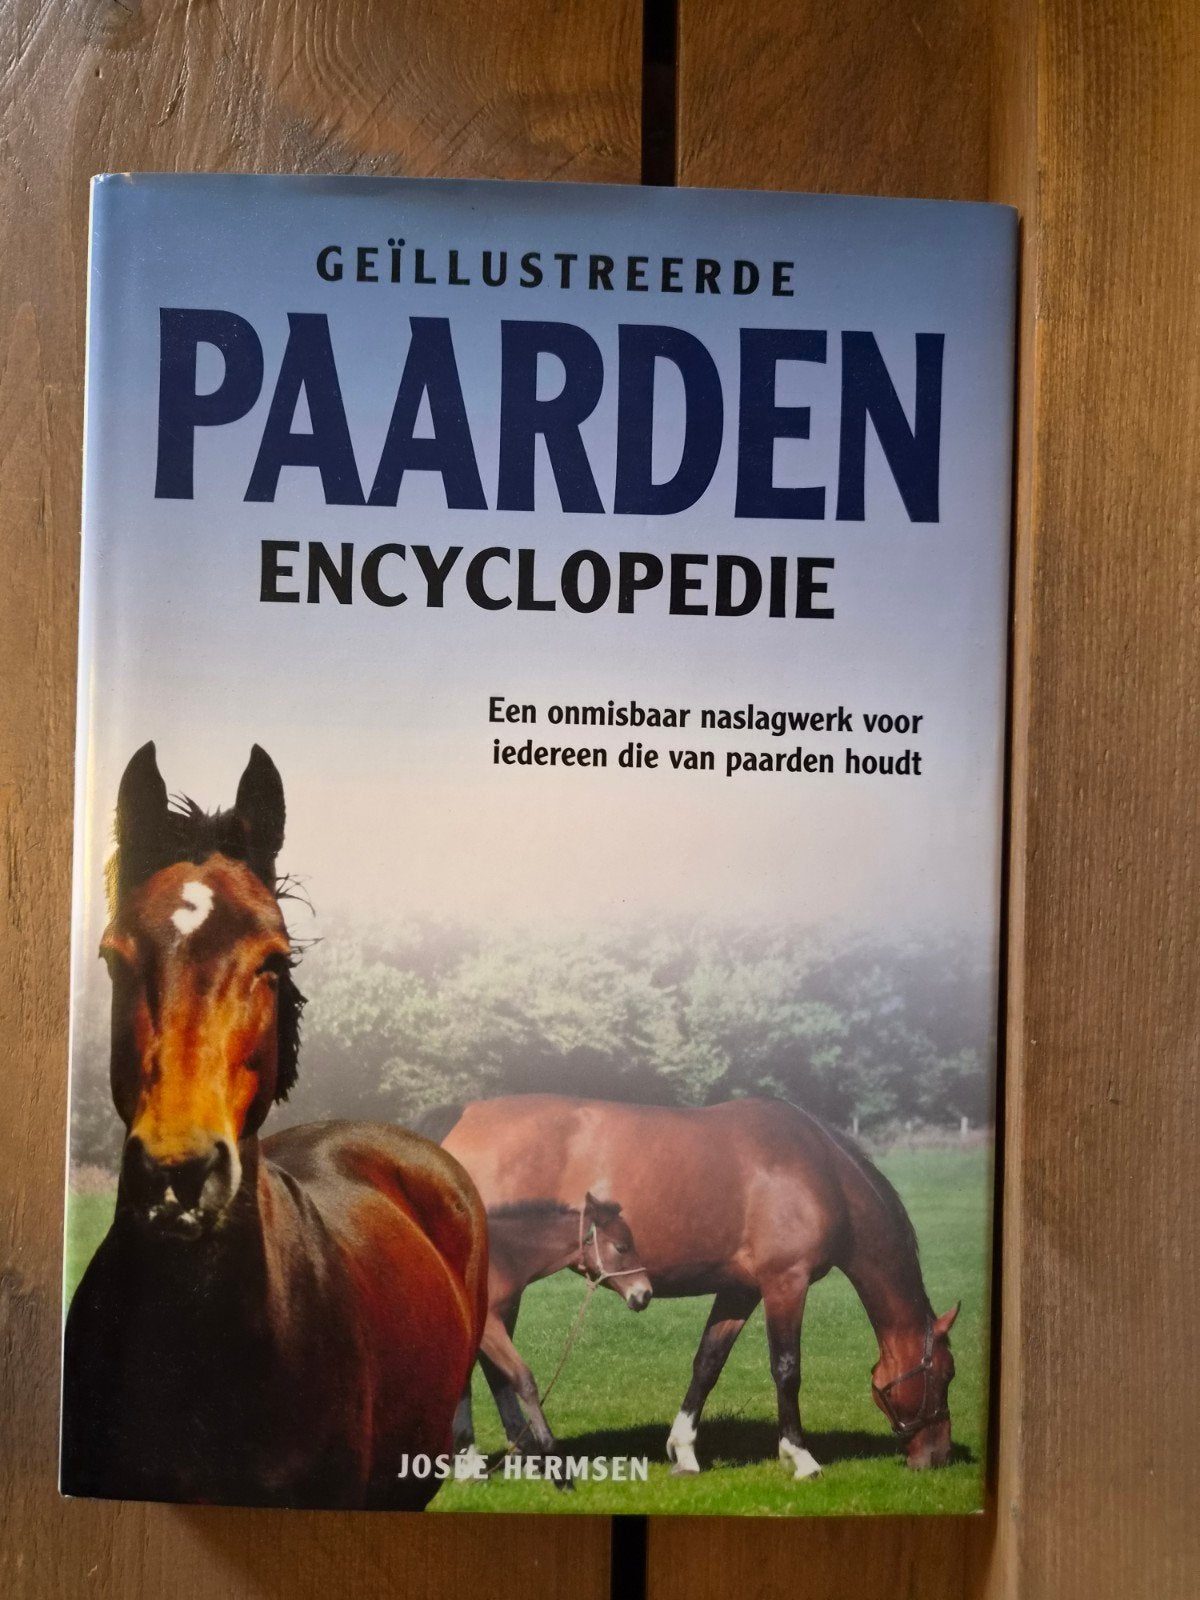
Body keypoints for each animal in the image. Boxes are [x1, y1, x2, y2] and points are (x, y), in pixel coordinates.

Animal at [452, 1192, 653, 1471]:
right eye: (622, 1247)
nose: (645, 1294)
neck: (499, 1258)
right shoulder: (490, 1325)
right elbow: (523, 1379)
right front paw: (547, 1446)